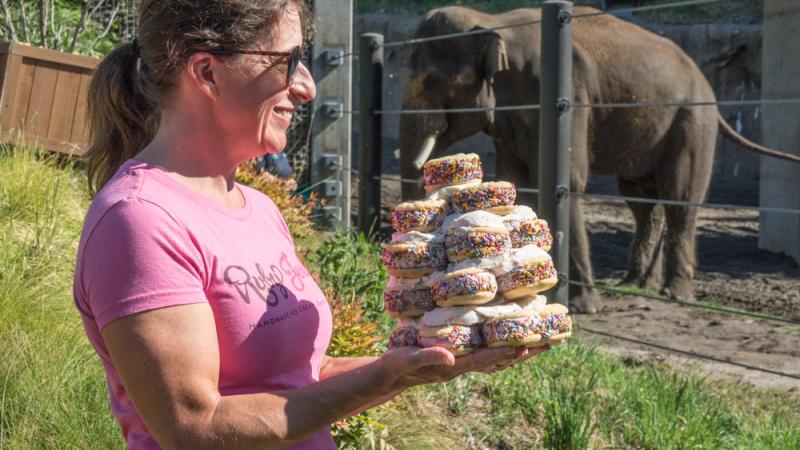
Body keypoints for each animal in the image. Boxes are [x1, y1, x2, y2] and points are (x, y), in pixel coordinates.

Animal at [396, 5, 800, 312]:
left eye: (432, 81)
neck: (493, 22)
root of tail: (708, 85)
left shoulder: (567, 97)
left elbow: (568, 182)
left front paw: (584, 308)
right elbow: (518, 182)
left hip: (691, 124)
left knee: (680, 199)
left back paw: (675, 294)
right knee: (642, 202)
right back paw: (636, 284)